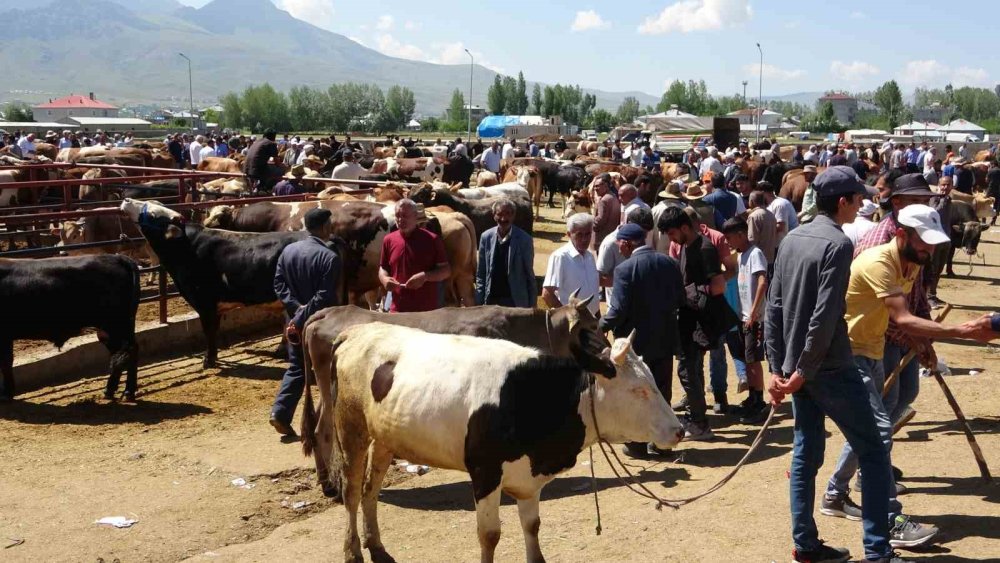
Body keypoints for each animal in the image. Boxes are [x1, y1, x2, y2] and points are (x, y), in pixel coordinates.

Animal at [0, 256, 142, 400]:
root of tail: (116, 257)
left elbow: (5, 362)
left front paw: (6, 395)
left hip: (116, 325)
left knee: (126, 352)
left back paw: (121, 391)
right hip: (113, 329)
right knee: (126, 351)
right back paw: (121, 391)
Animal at [117, 199, 306, 370]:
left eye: (153, 214)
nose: (126, 200)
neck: (186, 246)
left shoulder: (204, 302)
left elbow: (209, 331)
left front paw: (208, 360)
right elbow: (214, 329)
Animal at [300, 322, 684, 563]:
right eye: (638, 390)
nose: (679, 430)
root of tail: (356, 331)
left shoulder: (528, 480)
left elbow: (532, 527)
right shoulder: (485, 472)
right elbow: (489, 535)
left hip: (385, 438)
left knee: (370, 490)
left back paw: (376, 546)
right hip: (351, 429)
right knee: (352, 491)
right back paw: (353, 551)